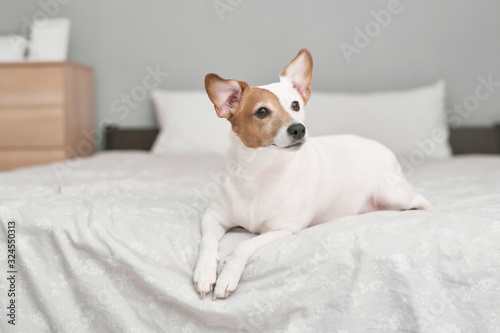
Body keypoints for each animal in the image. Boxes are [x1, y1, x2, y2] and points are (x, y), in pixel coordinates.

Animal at [193, 48, 432, 300]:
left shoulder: (283, 228)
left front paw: (227, 276)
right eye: (262, 111)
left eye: (296, 105)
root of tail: (383, 149)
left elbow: (243, 246)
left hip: (390, 192)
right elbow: (206, 243)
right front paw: (205, 273)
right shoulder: (213, 217)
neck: (258, 172)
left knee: (419, 199)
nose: (298, 128)